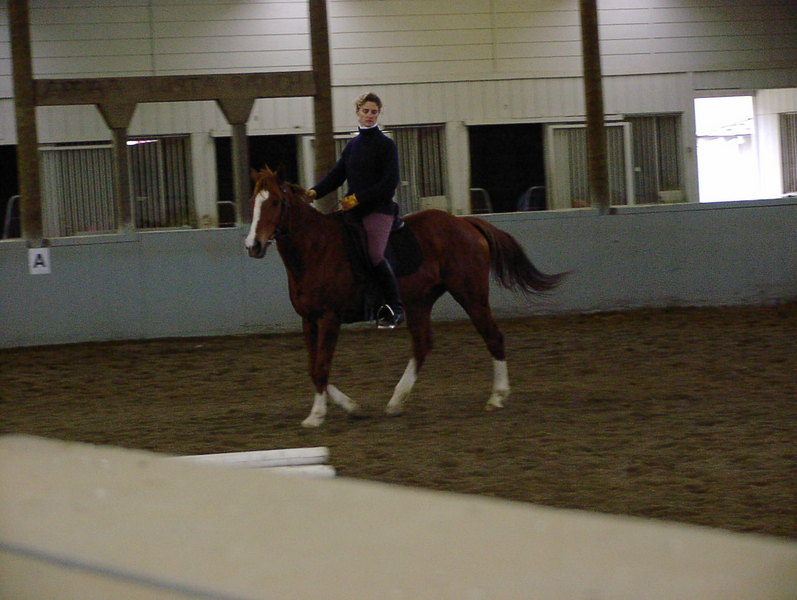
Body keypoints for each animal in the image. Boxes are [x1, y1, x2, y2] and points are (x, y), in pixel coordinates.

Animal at [245, 167, 566, 427]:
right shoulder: (309, 320)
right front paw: (351, 407)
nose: (253, 245)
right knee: (423, 345)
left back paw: (497, 398)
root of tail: (465, 223)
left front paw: (315, 416)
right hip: (419, 301)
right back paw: (396, 402)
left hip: (470, 294)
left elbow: (321, 366)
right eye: (253, 203)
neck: (315, 248)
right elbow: (313, 368)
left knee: (493, 337)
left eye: (275, 202)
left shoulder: (329, 318)